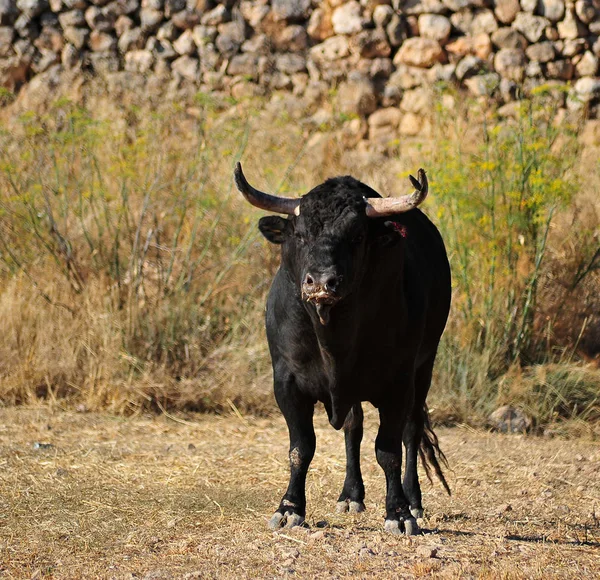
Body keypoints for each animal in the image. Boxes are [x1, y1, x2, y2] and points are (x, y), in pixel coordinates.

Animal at [234, 163, 450, 536]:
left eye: (357, 236)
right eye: (299, 234)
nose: (322, 282)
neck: (333, 338)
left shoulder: (398, 384)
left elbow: (389, 450)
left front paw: (398, 513)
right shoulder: (287, 382)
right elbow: (301, 447)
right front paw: (289, 508)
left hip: (424, 369)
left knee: (411, 432)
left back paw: (414, 501)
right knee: (354, 427)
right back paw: (351, 495)